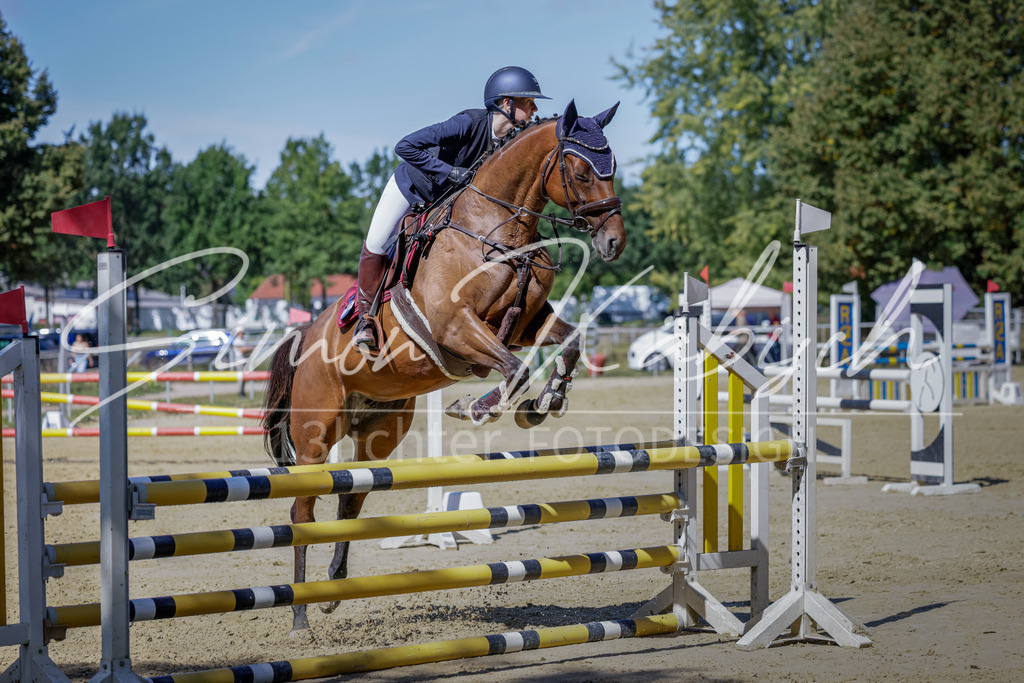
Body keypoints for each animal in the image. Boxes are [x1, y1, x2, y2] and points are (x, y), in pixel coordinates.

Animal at [261, 99, 627, 635]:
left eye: (613, 167)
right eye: (581, 172)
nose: (614, 243)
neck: (498, 228)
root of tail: (306, 334)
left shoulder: (525, 323)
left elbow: (570, 343)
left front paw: (548, 402)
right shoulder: (456, 329)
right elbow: (515, 371)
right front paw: (479, 407)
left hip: (381, 428)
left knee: (351, 497)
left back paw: (334, 588)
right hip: (315, 433)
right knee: (302, 510)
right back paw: (301, 614)